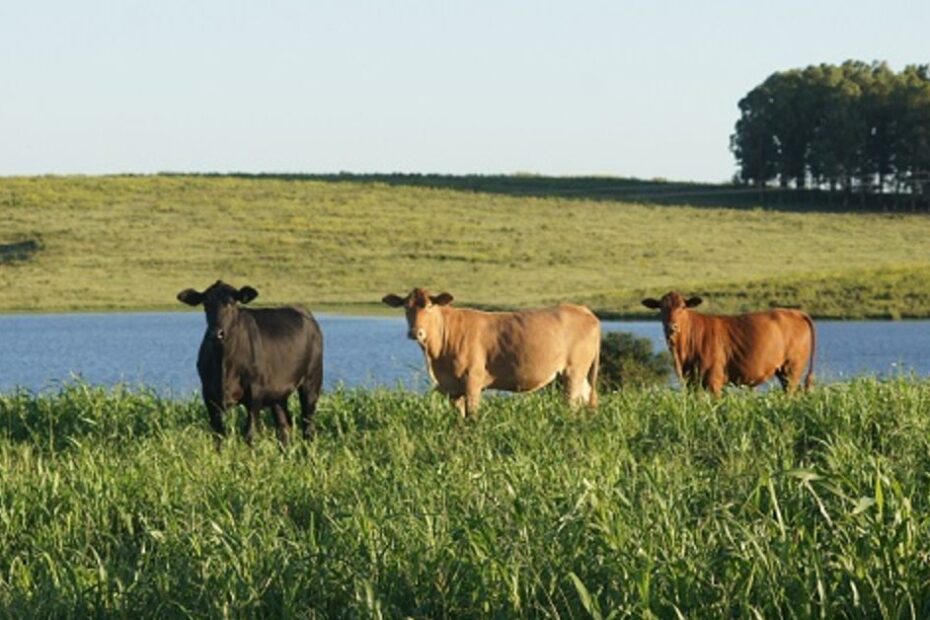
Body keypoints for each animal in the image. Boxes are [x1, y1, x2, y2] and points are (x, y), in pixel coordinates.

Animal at [177, 280, 322, 446]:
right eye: (206, 304)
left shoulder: (255, 392)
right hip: (278, 393)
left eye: (231, 303)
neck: (224, 365)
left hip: (312, 381)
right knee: (284, 425)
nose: (216, 333)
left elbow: (249, 433)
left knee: (308, 425)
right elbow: (219, 435)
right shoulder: (208, 394)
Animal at [378, 290, 600, 416]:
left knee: (572, 403)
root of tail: (584, 310)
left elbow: (472, 415)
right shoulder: (452, 387)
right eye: (406, 307)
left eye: (430, 306)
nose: (416, 332)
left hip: (574, 371)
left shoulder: (472, 380)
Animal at [640, 292, 812, 398]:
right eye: (661, 308)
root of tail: (796, 312)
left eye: (683, 307)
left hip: (792, 369)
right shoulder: (691, 383)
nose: (672, 327)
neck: (681, 355)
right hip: (783, 371)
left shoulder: (713, 381)